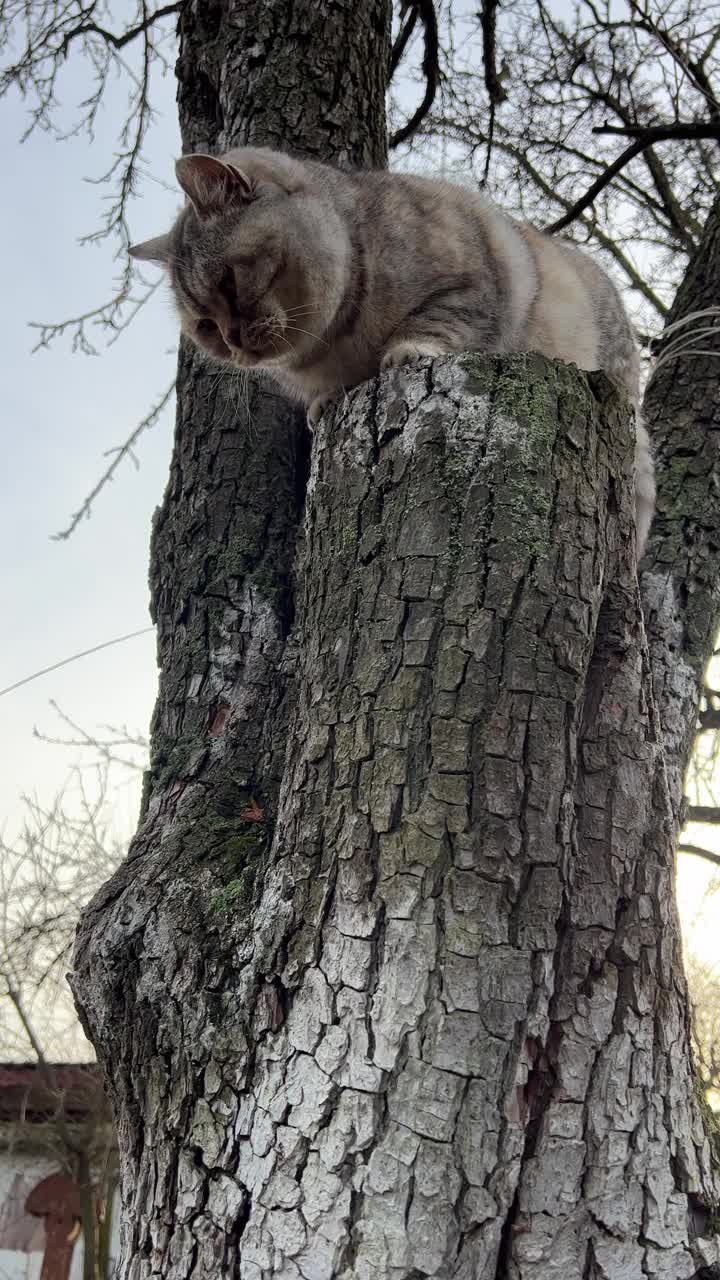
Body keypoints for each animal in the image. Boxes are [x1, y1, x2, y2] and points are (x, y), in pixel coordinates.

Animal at [131, 146, 653, 555]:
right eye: (204, 326)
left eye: (229, 281)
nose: (233, 342)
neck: (338, 341)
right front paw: (326, 400)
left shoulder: (468, 286)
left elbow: (434, 322)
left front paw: (405, 351)